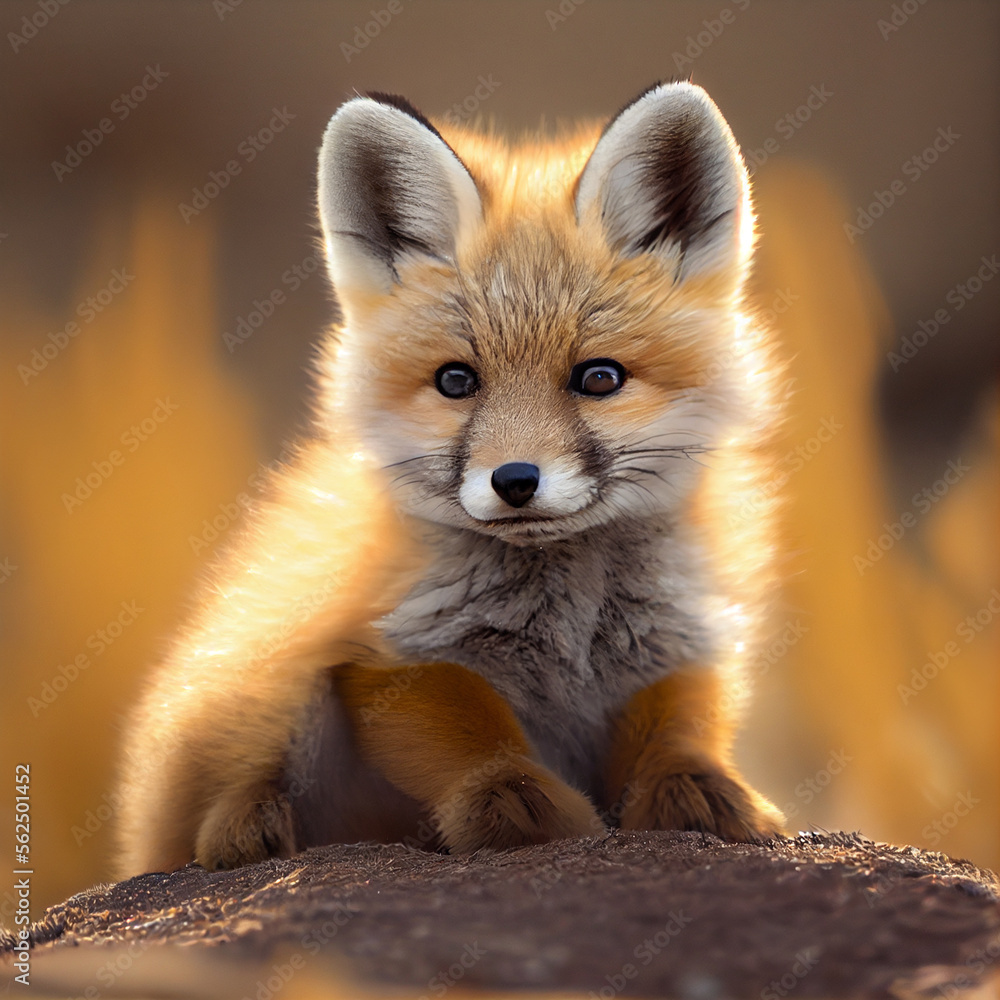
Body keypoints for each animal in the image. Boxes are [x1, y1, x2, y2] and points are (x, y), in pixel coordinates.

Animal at [118, 81, 785, 876]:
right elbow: (472, 734)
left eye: (598, 377)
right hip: (272, 669)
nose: (516, 481)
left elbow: (681, 732)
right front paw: (514, 806)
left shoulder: (676, 638)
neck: (572, 627)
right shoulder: (389, 649)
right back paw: (250, 829)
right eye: (457, 381)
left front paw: (699, 791)